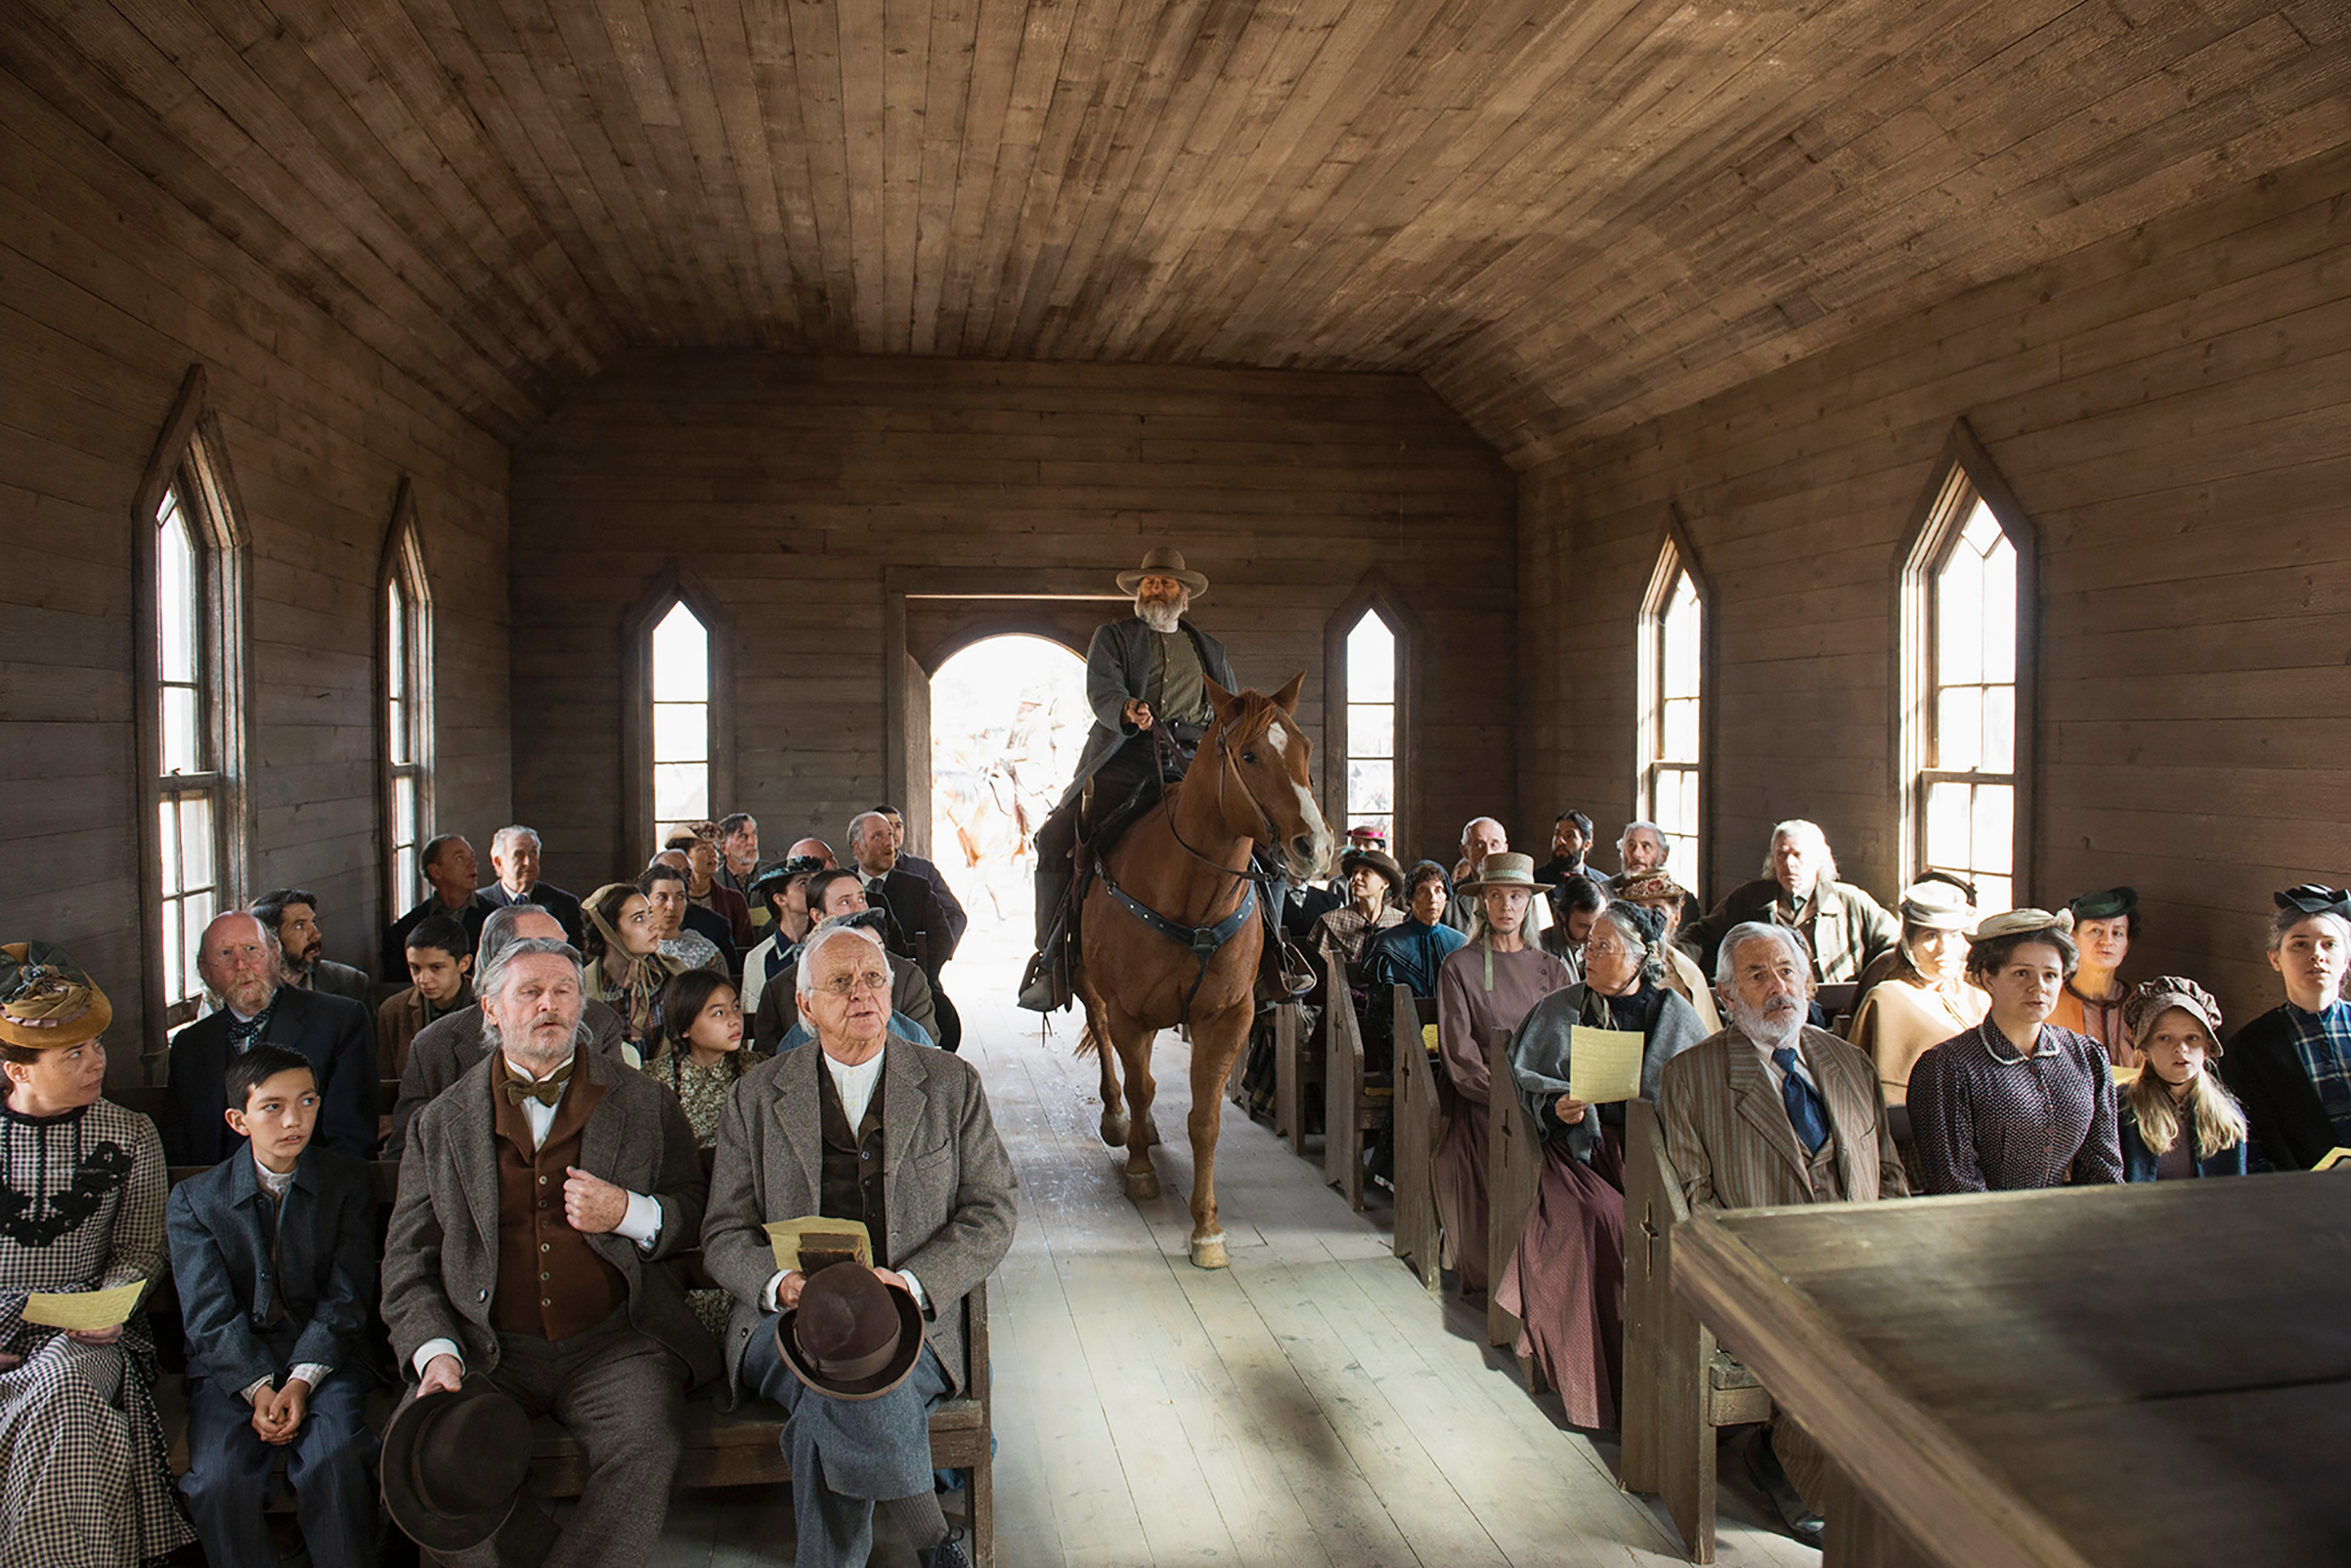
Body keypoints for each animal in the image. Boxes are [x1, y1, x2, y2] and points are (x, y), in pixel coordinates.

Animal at [1076, 681, 1335, 1269]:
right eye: (1249, 755)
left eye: (1306, 749)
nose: (1315, 847)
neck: (1192, 893)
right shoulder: (1129, 1011)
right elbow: (1141, 1084)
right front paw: (1141, 1171)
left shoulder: (1226, 1016)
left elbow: (1205, 1121)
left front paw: (1207, 1230)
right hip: (1092, 985)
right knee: (1106, 1042)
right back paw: (1118, 1122)